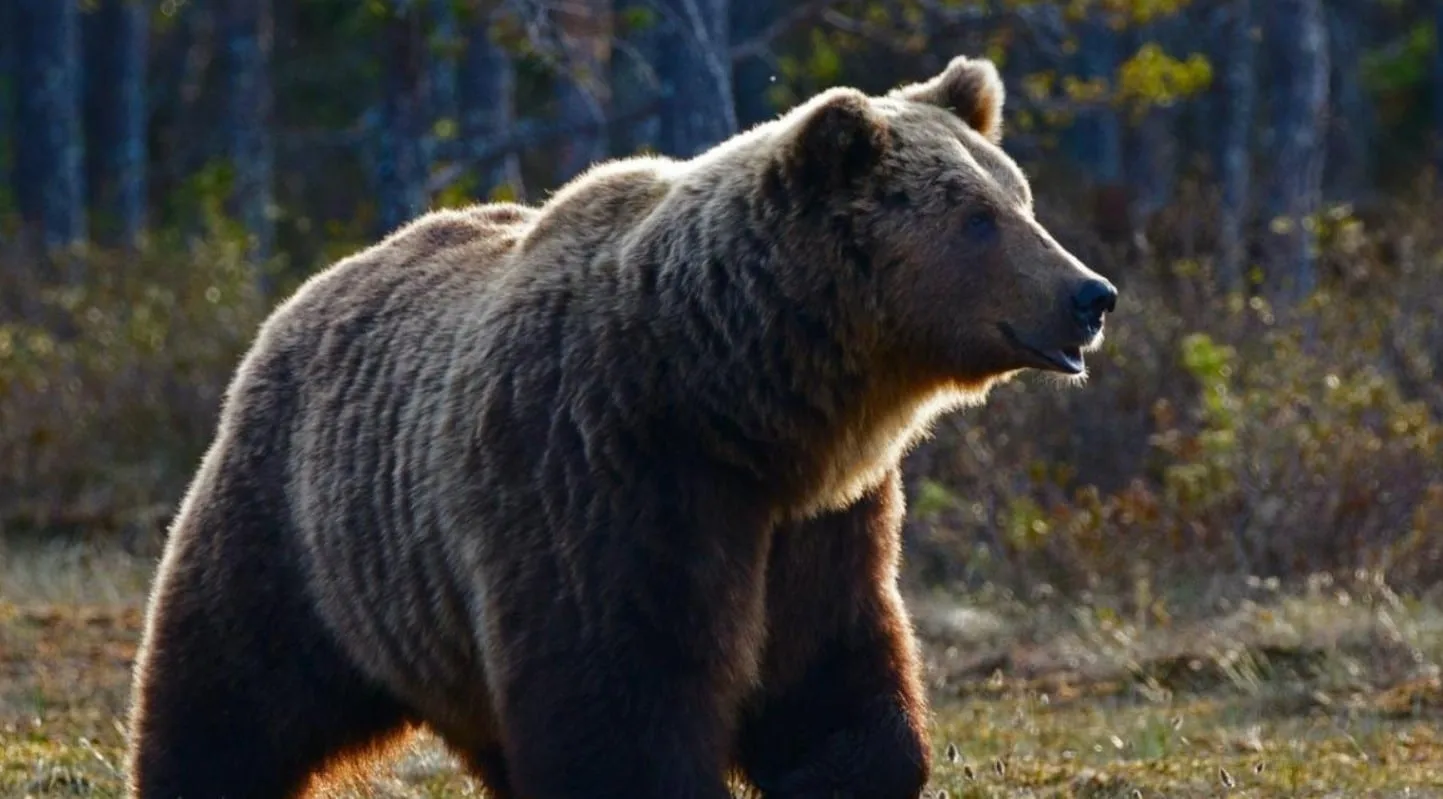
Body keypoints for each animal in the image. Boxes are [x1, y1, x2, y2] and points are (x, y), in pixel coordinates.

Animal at [124, 54, 1116, 799]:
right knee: (227, 695)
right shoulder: (604, 473)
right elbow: (620, 700)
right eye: (978, 219)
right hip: (302, 531)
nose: (1090, 294)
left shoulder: (820, 522)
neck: (741, 401)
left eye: (1020, 200)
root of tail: (310, 290)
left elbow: (830, 677)